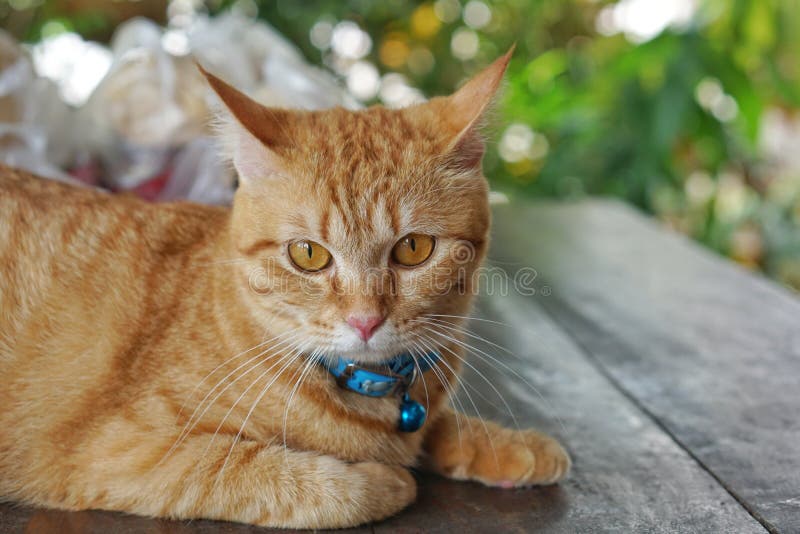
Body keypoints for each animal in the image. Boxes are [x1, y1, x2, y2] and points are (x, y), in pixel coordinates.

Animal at [0, 51, 568, 532]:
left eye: (414, 249)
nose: (365, 321)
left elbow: (442, 426)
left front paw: (511, 445)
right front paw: (386, 479)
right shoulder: (122, 452)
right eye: (308, 255)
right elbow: (287, 479)